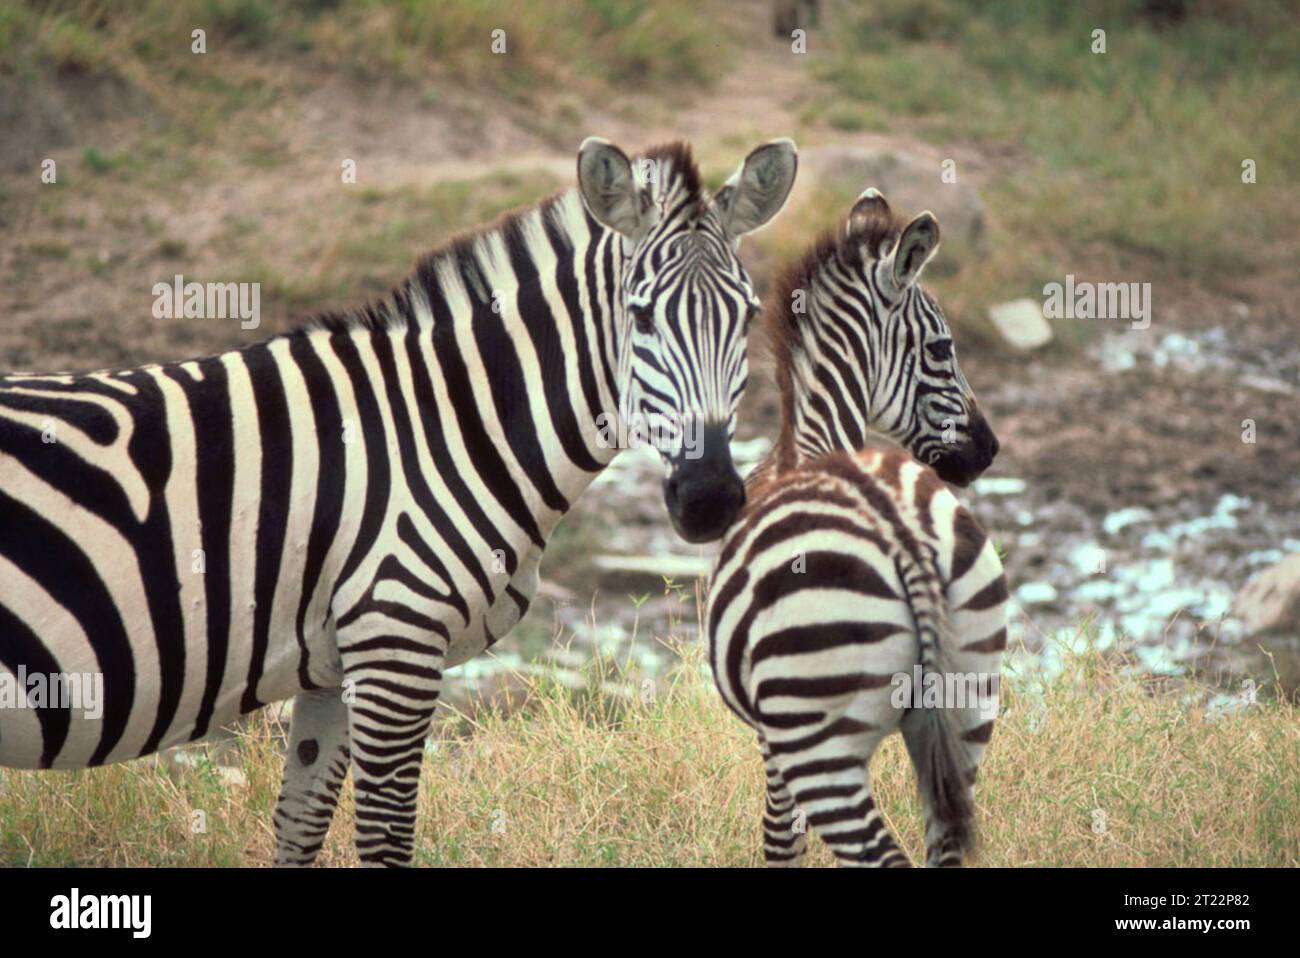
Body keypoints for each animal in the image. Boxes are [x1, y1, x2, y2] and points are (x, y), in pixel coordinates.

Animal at [0, 136, 799, 866]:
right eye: (641, 317)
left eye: (748, 315)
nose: (710, 499)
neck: (444, 425)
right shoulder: (396, 639)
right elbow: (386, 840)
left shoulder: (332, 665)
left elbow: (300, 828)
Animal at [706, 187, 1008, 867]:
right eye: (943, 349)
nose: (989, 450)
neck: (812, 446)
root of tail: (907, 541)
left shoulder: (774, 732)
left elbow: (780, 838)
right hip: (972, 704)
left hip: (819, 739)